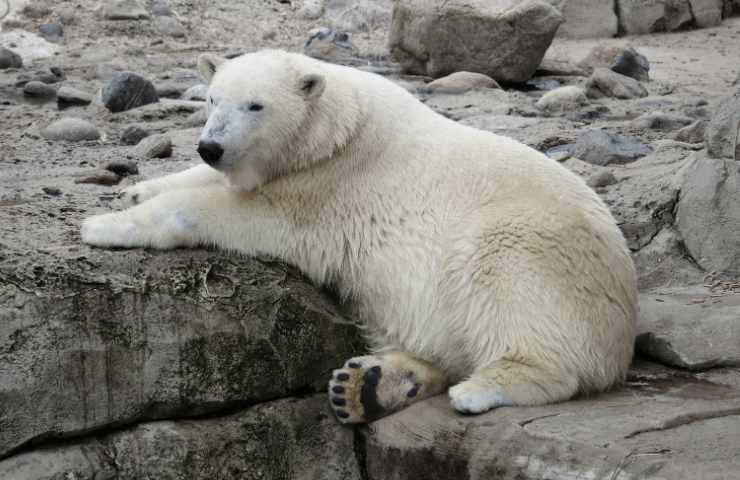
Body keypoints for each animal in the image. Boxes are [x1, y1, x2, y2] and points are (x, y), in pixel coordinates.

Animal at [79, 49, 636, 424]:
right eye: (213, 99)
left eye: (255, 106)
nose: (210, 146)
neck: (336, 130)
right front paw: (136, 188)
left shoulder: (328, 189)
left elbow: (242, 214)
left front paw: (104, 226)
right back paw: (369, 386)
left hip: (531, 246)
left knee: (511, 297)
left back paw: (478, 389)